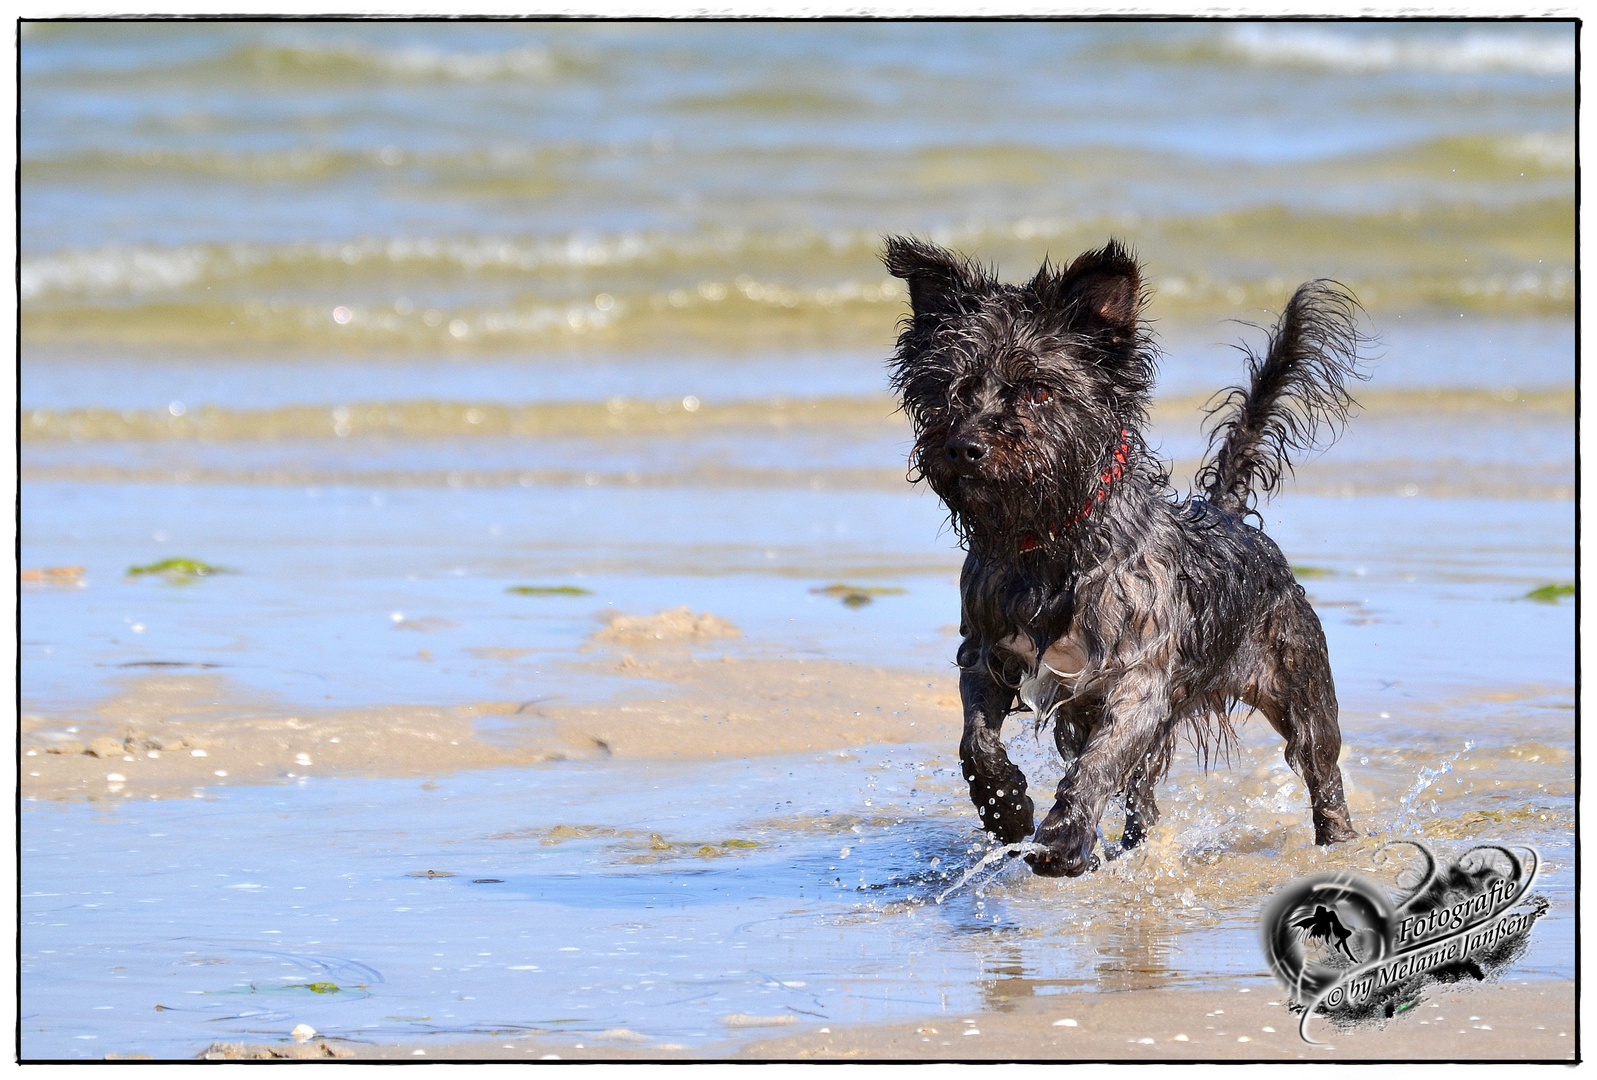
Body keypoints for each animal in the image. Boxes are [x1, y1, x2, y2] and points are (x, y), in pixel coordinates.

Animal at [881, 236, 1367, 875]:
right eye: (950, 391)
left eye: (1038, 389)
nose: (966, 445)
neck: (1049, 549)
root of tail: (1230, 515)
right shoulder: (985, 654)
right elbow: (976, 743)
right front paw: (1006, 809)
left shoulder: (1137, 683)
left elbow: (1097, 764)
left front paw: (1063, 836)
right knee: (1143, 795)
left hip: (1301, 688)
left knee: (1322, 771)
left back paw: (1339, 841)